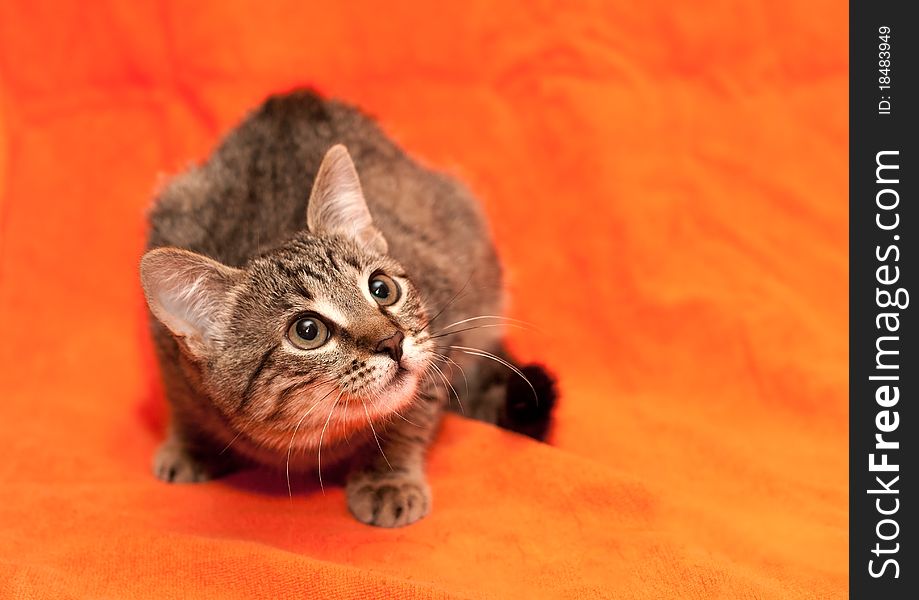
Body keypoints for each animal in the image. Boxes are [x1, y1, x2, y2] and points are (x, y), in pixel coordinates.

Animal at [137, 89, 552, 524]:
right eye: (307, 331)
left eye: (381, 289)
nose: (392, 341)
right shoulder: (168, 356)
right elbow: (180, 401)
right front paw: (191, 444)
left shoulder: (443, 330)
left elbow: (410, 415)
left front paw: (387, 477)